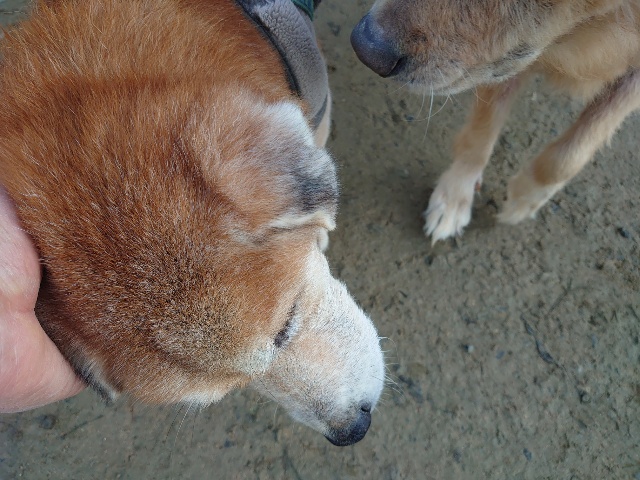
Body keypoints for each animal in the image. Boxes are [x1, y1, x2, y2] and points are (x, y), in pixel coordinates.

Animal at [351, 0, 640, 243]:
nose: (365, 46)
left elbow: (568, 157)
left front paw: (525, 200)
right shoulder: (494, 62)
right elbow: (480, 135)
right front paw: (455, 195)